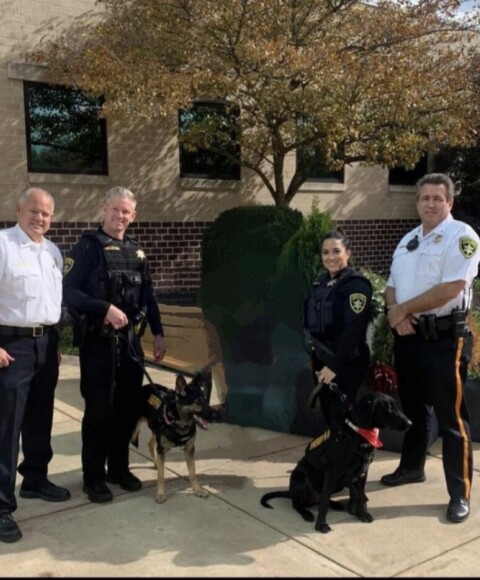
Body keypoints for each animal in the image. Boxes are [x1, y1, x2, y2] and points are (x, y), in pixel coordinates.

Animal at [260, 390, 410, 536]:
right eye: (388, 409)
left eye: (397, 406)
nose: (410, 423)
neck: (357, 434)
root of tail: (290, 491)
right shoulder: (332, 474)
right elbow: (324, 504)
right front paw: (321, 525)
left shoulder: (362, 473)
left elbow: (361, 497)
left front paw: (362, 514)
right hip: (302, 479)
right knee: (298, 504)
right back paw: (306, 513)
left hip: (339, 484)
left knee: (320, 498)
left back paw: (336, 504)